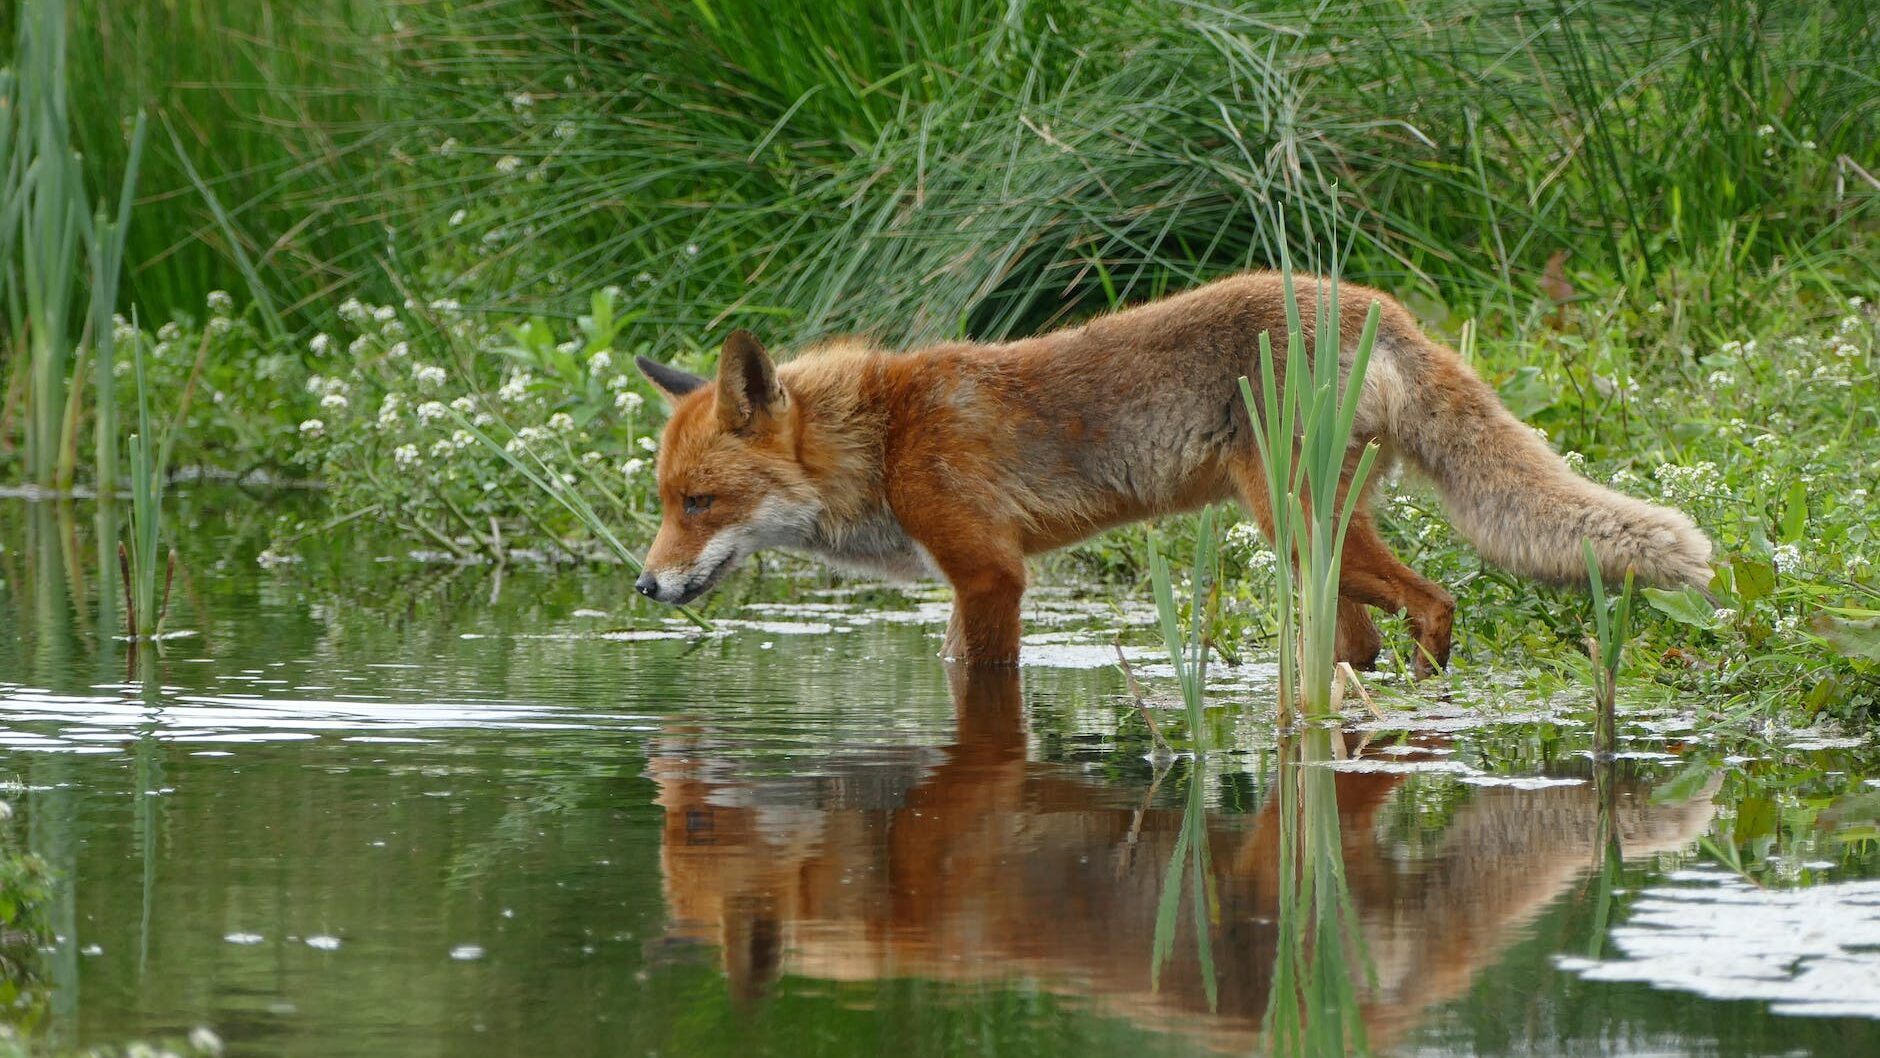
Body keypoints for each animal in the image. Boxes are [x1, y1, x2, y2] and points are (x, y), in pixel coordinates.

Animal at [632, 271, 1713, 674]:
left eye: (701, 502)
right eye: (664, 504)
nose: (644, 585)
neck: (883, 439)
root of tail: (1375, 303)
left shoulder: (990, 575)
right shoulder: (969, 580)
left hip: (1292, 524)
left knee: (1437, 600)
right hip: (1315, 546)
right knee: (1365, 636)